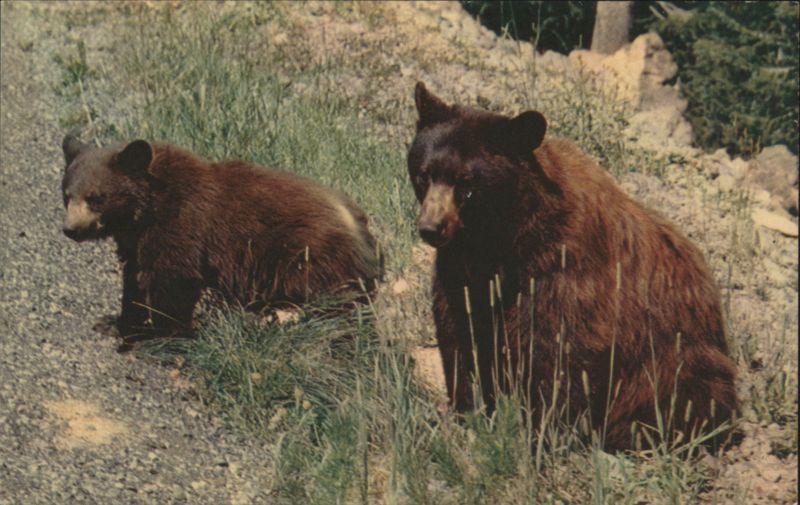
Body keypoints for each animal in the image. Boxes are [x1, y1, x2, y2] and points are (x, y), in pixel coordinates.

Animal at [61, 135, 382, 344]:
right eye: (67, 194)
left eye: (96, 197)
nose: (71, 229)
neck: (145, 209)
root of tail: (367, 235)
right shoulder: (136, 240)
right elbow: (135, 278)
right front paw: (115, 322)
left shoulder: (181, 222)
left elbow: (173, 279)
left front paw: (158, 333)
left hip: (310, 261)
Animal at [407, 82, 738, 451]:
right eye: (424, 175)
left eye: (466, 184)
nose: (431, 228)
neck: (500, 238)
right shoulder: (463, 272)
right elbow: (461, 334)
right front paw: (468, 412)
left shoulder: (562, 270)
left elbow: (558, 351)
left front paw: (541, 431)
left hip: (679, 358)